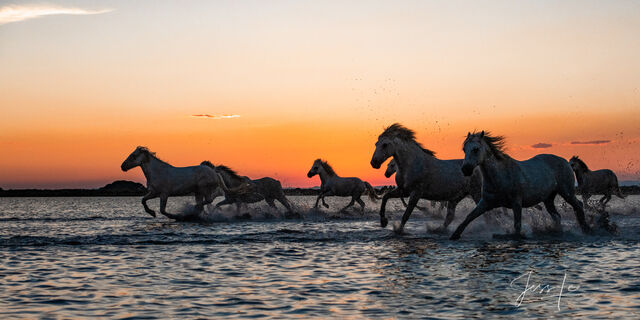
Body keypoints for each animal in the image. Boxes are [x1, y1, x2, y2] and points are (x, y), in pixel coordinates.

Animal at [448, 131, 592, 239]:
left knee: (579, 206)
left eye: (476, 149)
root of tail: (566, 162)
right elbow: (469, 217)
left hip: (567, 192)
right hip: (548, 199)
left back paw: (586, 230)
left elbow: (517, 226)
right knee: (557, 216)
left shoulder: (516, 203)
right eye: (464, 149)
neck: (499, 177)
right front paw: (455, 235)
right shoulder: (485, 203)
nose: (465, 169)